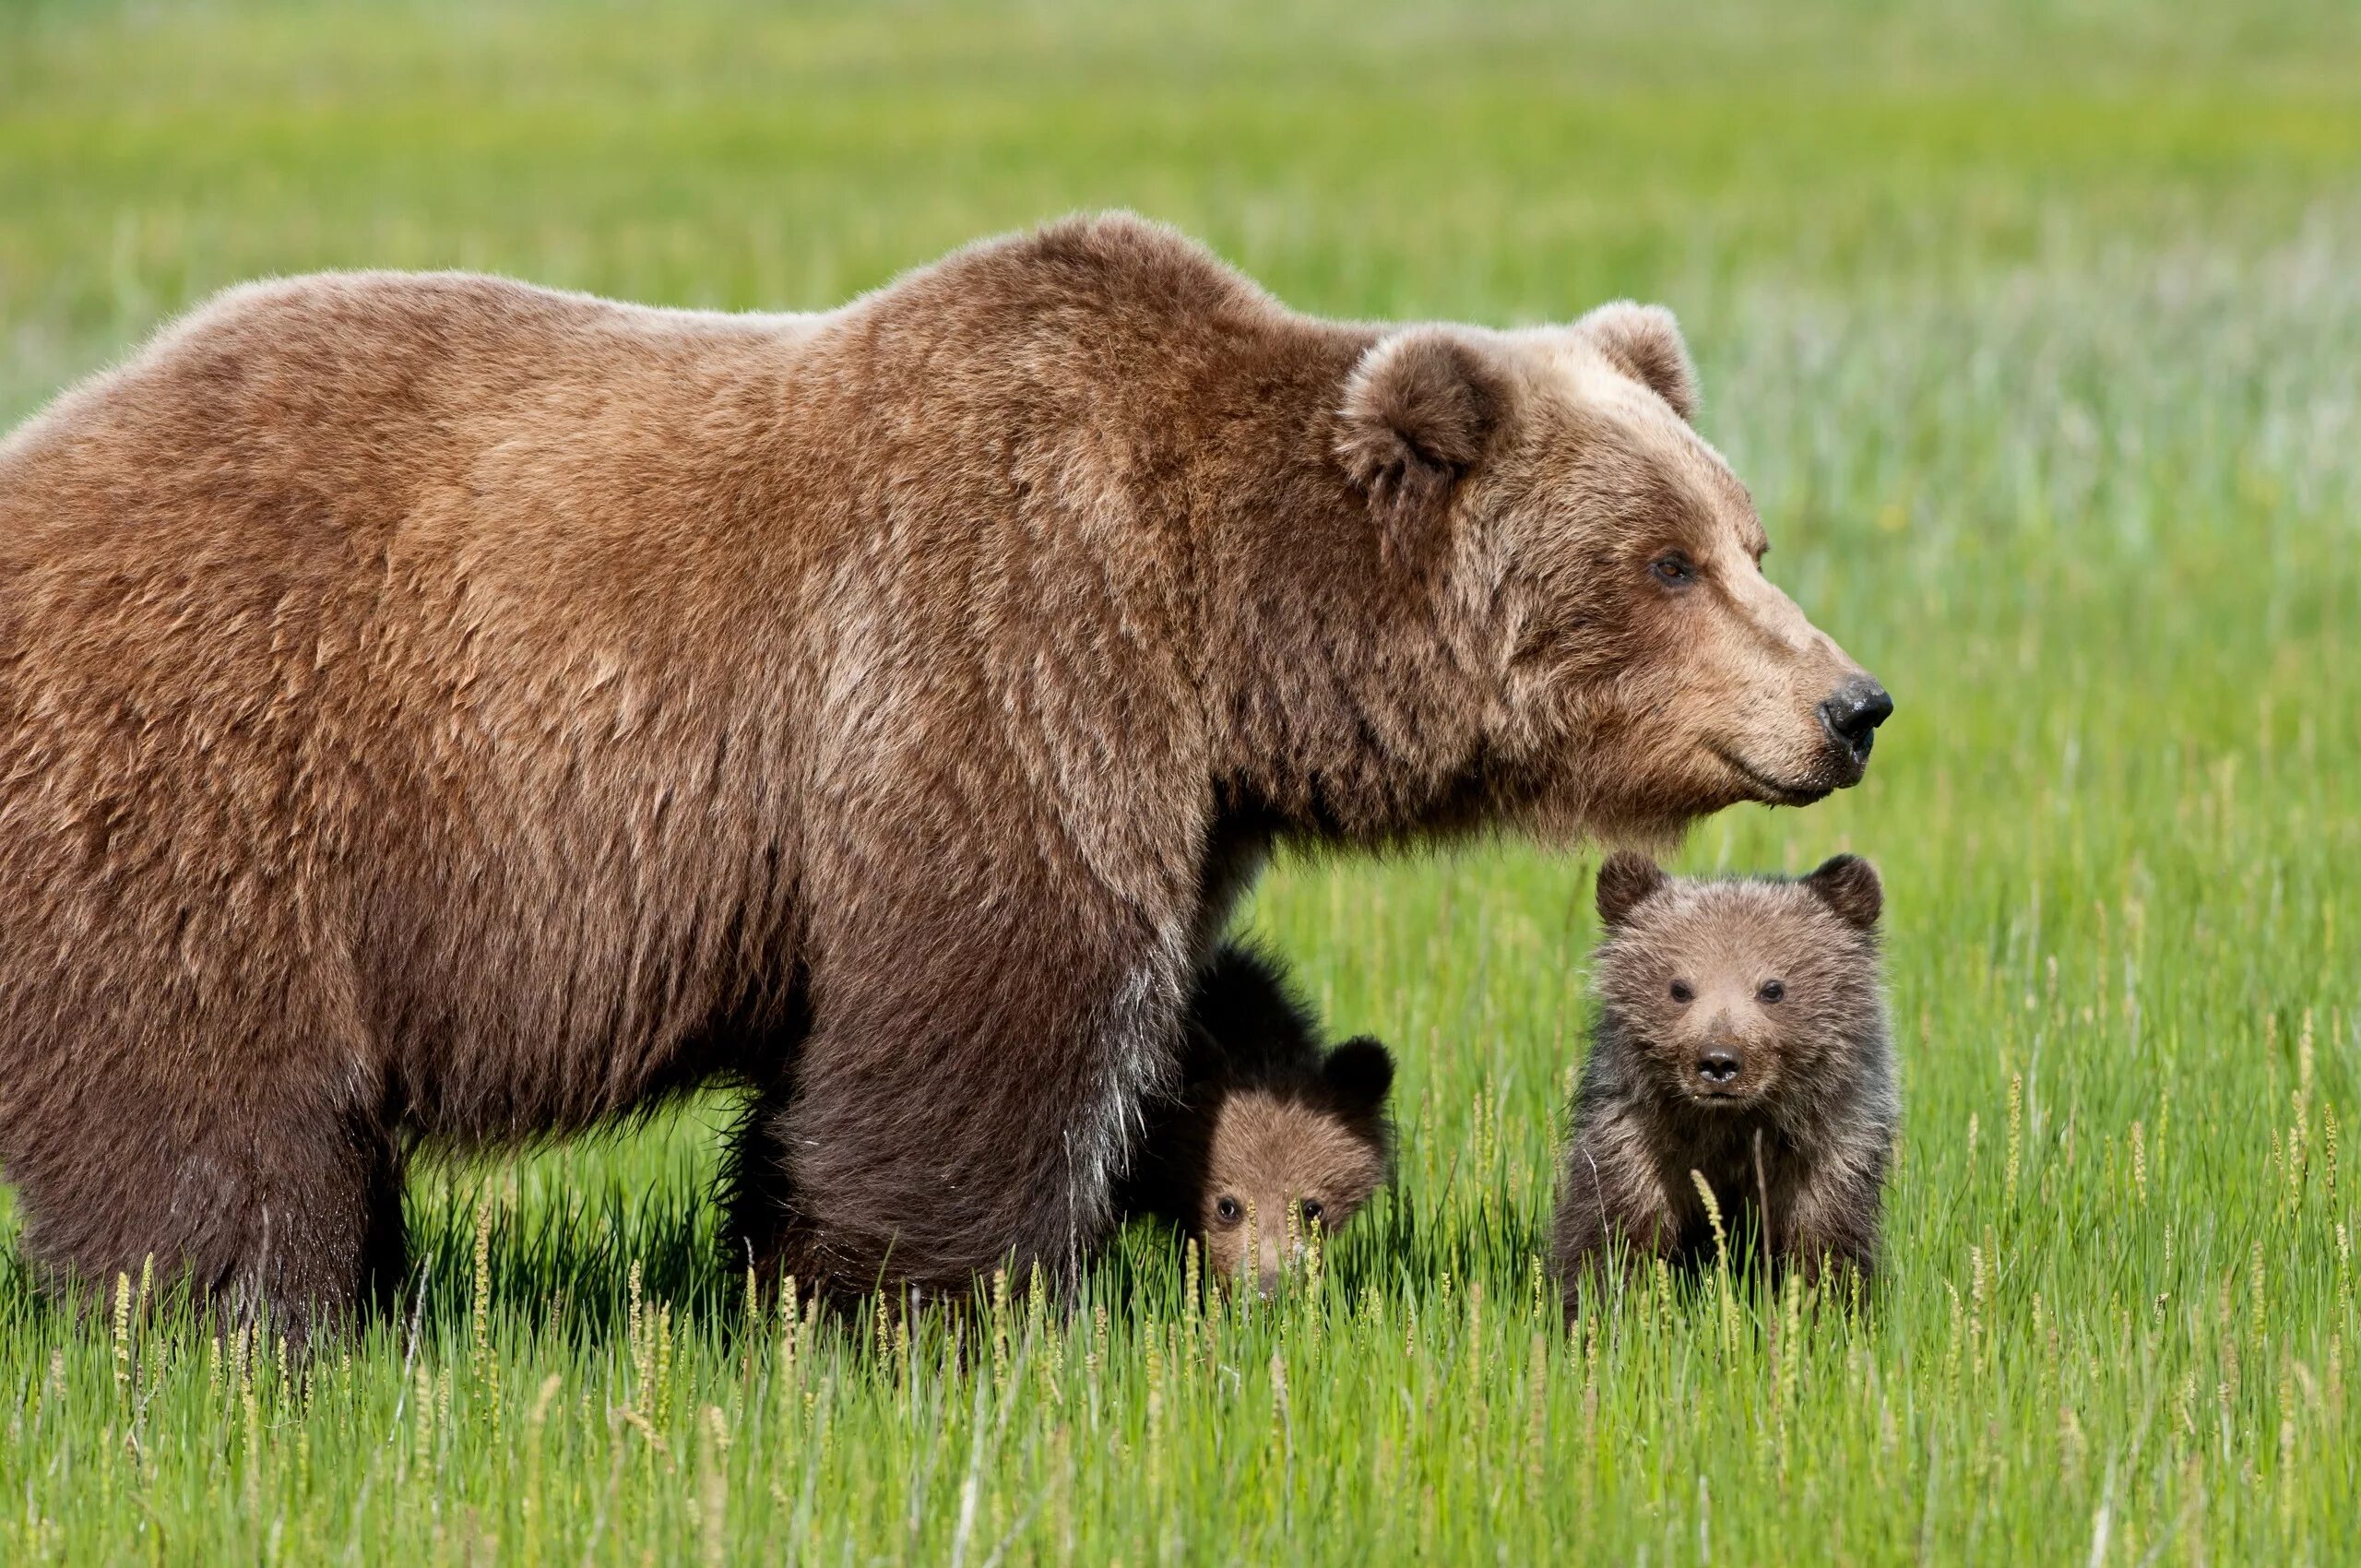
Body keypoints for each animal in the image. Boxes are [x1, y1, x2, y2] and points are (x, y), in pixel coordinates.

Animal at [1548, 849, 1898, 1303]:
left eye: (1773, 988)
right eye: (1679, 987)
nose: (1718, 1061)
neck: (1730, 1127)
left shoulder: (1831, 1149)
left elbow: (1825, 1249)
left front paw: (1822, 1305)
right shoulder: (1634, 1143)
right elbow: (1611, 1238)